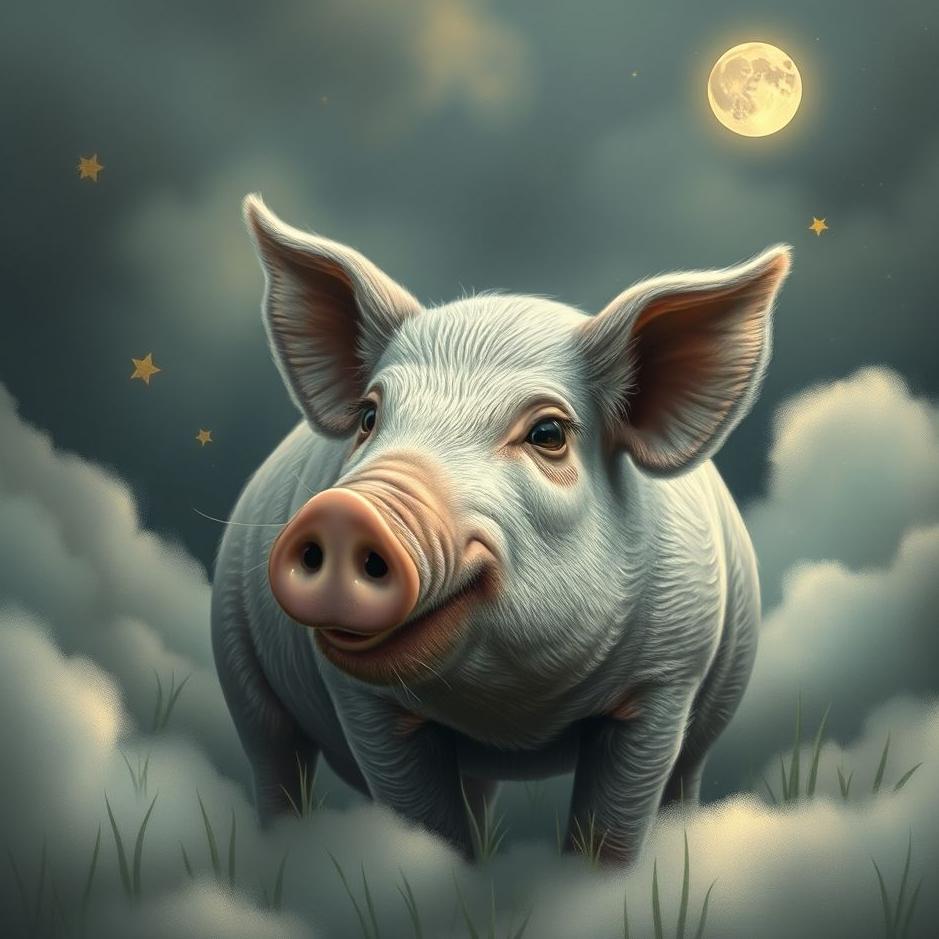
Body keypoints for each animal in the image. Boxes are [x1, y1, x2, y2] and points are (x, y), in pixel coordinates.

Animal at [211, 193, 791, 864]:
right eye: (368, 416)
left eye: (549, 433)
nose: (343, 513)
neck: (515, 714)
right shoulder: (364, 701)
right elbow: (427, 822)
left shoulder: (666, 680)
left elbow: (612, 828)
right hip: (237, 661)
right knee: (275, 758)